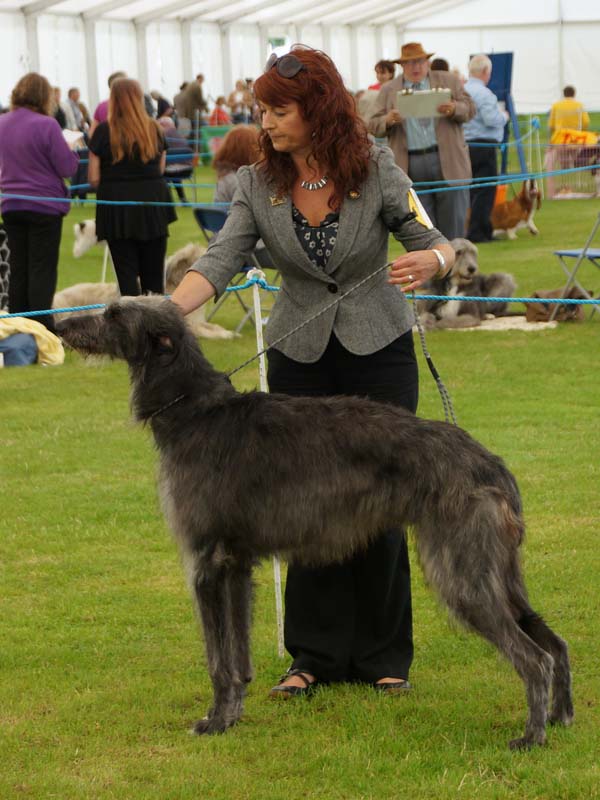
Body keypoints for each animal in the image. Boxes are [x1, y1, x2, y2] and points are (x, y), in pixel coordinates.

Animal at [57, 296, 572, 752]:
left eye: (114, 313)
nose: (60, 326)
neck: (195, 410)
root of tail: (491, 464)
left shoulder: (205, 562)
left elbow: (217, 659)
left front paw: (214, 722)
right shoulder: (237, 565)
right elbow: (239, 655)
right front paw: (233, 715)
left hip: (461, 570)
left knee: (534, 657)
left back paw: (531, 736)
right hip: (497, 569)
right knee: (555, 642)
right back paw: (560, 717)